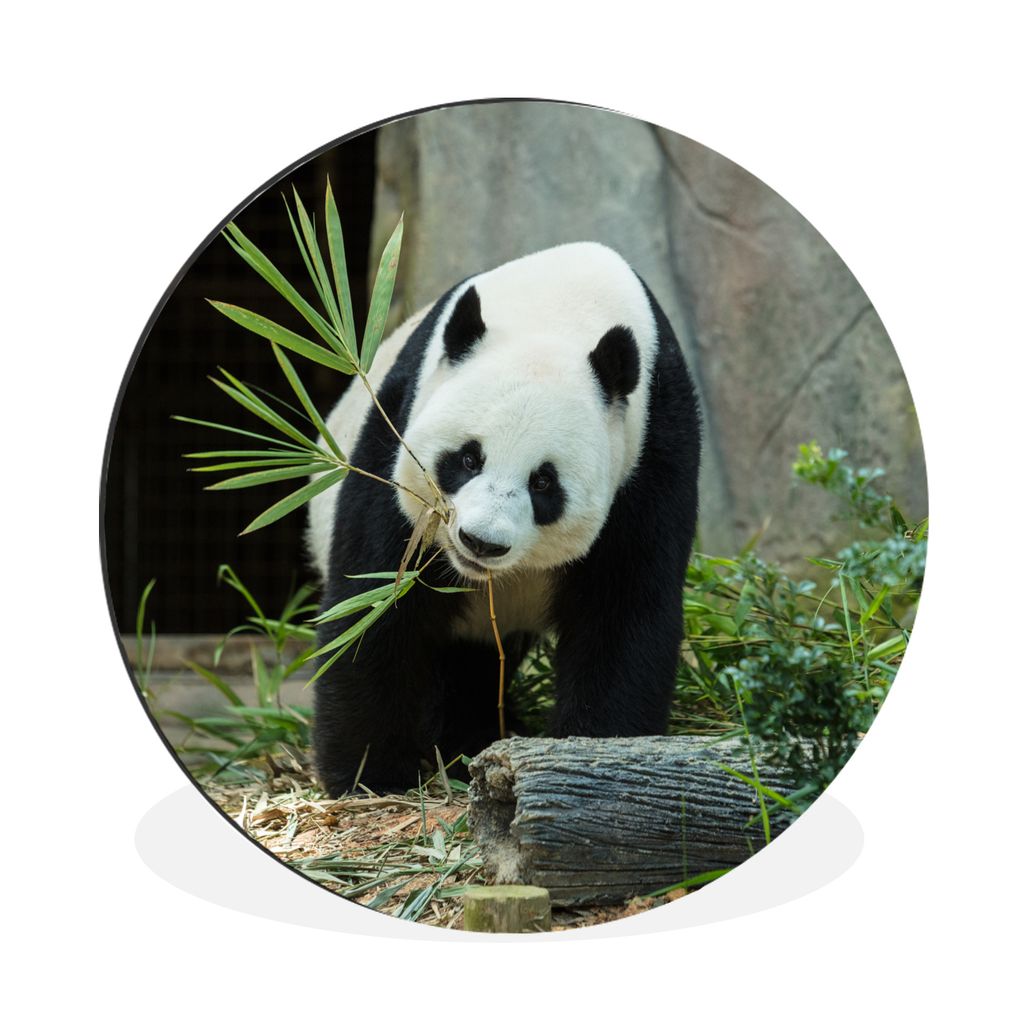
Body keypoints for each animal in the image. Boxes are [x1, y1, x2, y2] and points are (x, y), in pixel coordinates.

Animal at [307, 242, 701, 797]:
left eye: (544, 483)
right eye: (468, 458)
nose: (480, 542)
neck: (560, 307)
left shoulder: (652, 453)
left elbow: (623, 612)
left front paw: (598, 754)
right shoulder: (397, 428)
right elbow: (376, 603)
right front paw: (370, 775)